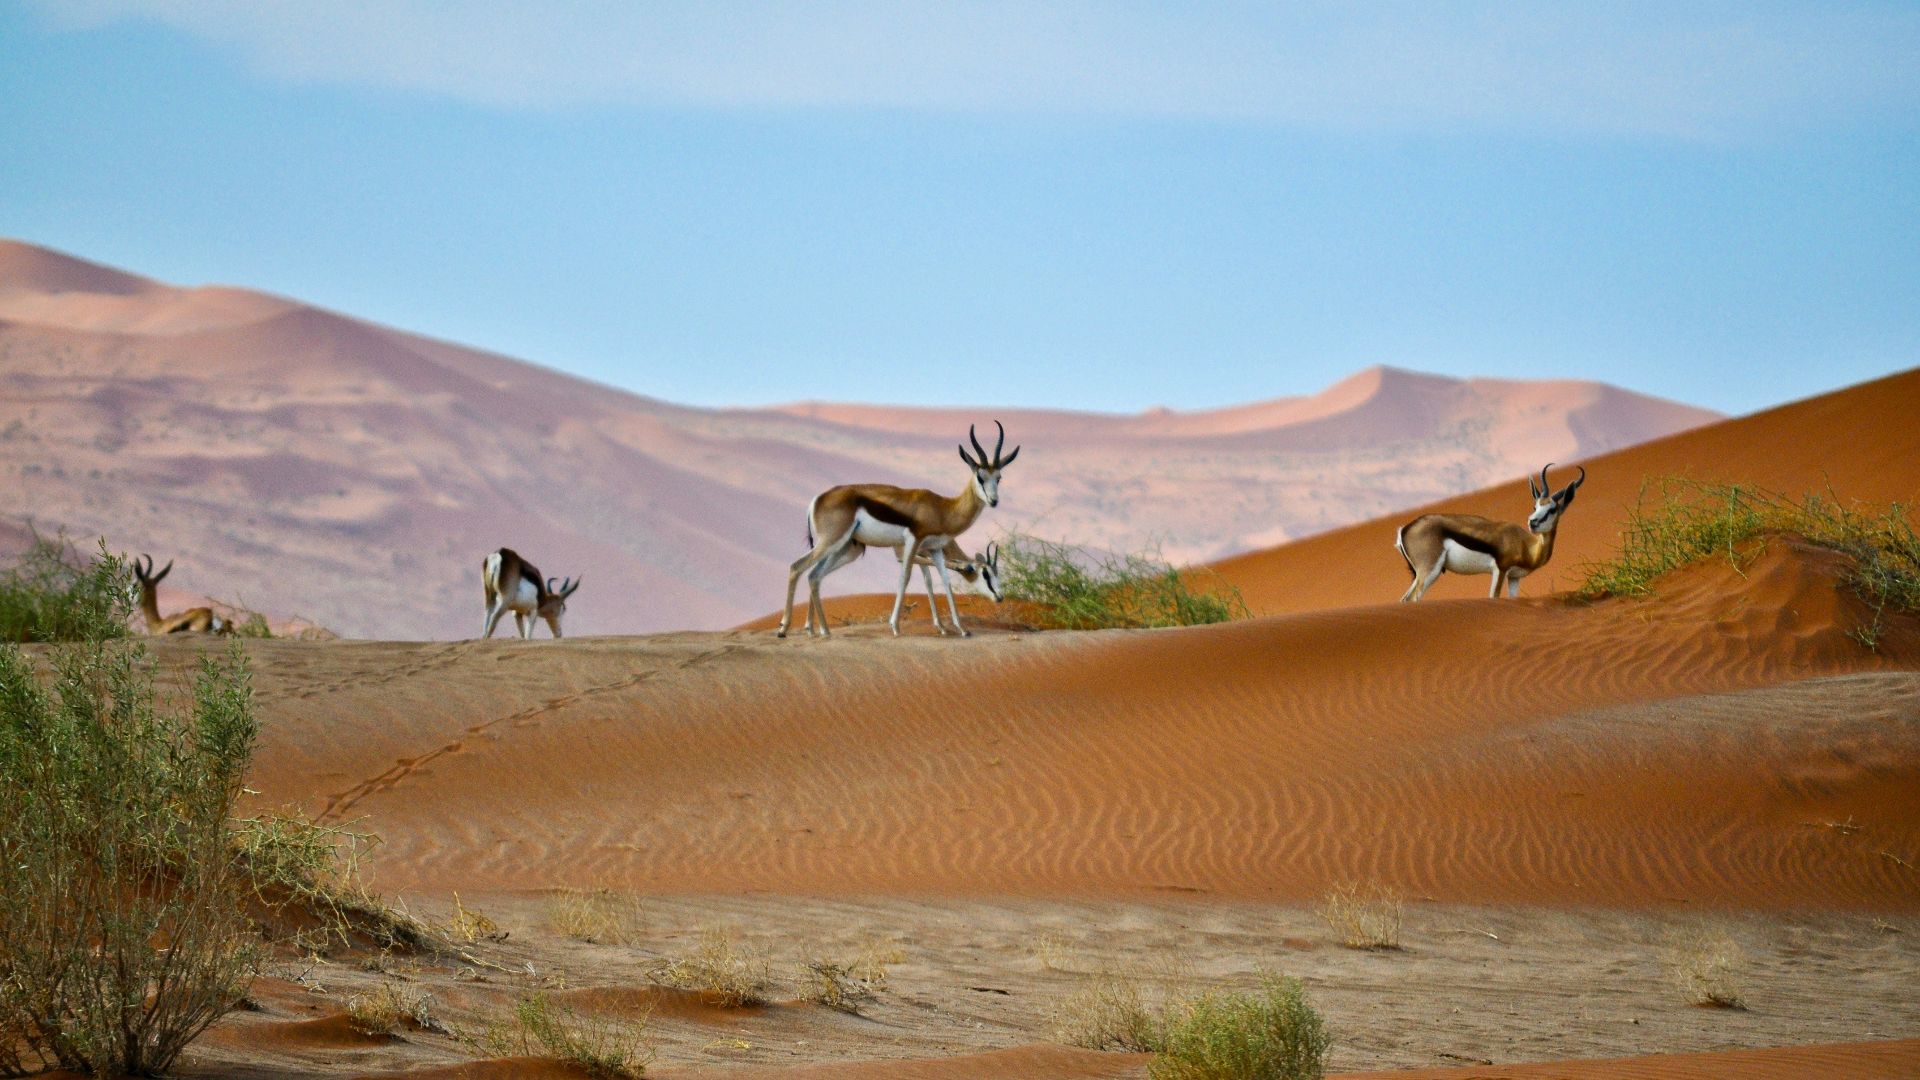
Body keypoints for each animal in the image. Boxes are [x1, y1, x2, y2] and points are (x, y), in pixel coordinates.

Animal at [778, 421, 1019, 638]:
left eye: (999, 477)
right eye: (980, 476)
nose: (994, 501)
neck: (942, 508)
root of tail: (817, 499)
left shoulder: (934, 549)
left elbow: (945, 581)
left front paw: (961, 629)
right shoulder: (912, 542)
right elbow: (905, 577)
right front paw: (895, 626)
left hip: (844, 548)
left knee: (814, 575)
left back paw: (821, 630)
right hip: (831, 542)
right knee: (797, 567)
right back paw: (784, 629)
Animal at [1396, 463, 1586, 601]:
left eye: (1552, 509)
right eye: (1535, 506)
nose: (1533, 522)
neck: (1525, 545)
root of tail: (1405, 529)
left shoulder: (1514, 578)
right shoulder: (1500, 570)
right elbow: (1493, 598)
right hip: (1429, 571)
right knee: (1413, 599)